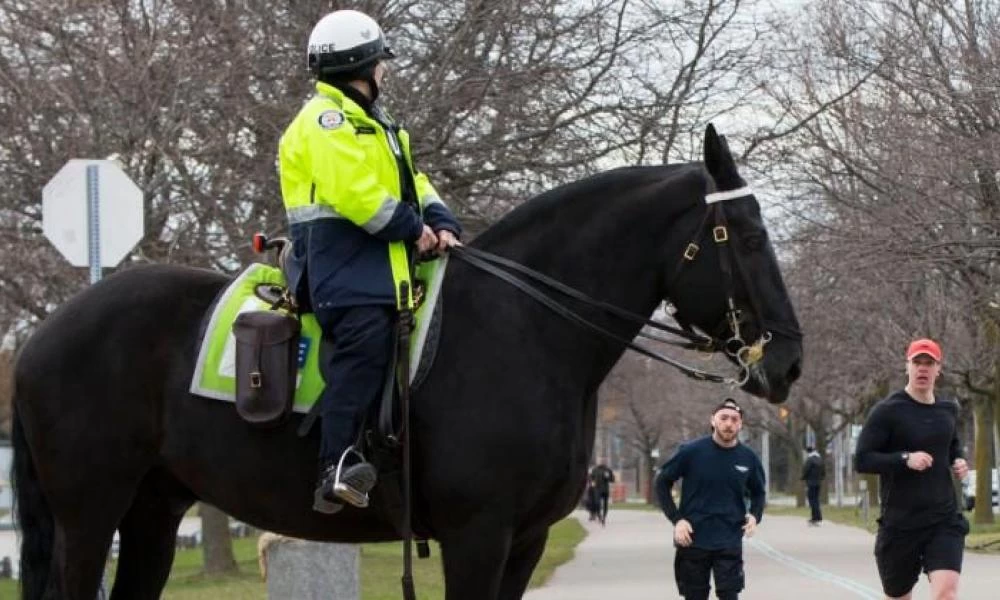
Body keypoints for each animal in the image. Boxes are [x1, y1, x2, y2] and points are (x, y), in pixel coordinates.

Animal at [11, 124, 800, 596]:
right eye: (745, 236)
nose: (789, 362)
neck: (526, 328)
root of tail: (44, 334)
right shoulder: (477, 535)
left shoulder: (524, 541)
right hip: (90, 514)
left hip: (150, 511)